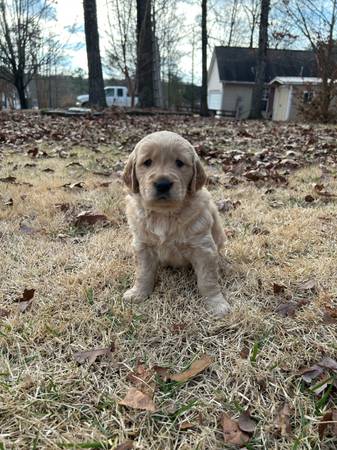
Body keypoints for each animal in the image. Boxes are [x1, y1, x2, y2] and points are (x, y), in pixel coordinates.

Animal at [122, 130, 230, 316]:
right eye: (147, 162)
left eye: (180, 163)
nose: (163, 184)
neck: (165, 214)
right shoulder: (143, 246)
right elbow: (143, 273)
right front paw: (138, 293)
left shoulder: (204, 248)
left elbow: (207, 280)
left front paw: (216, 303)